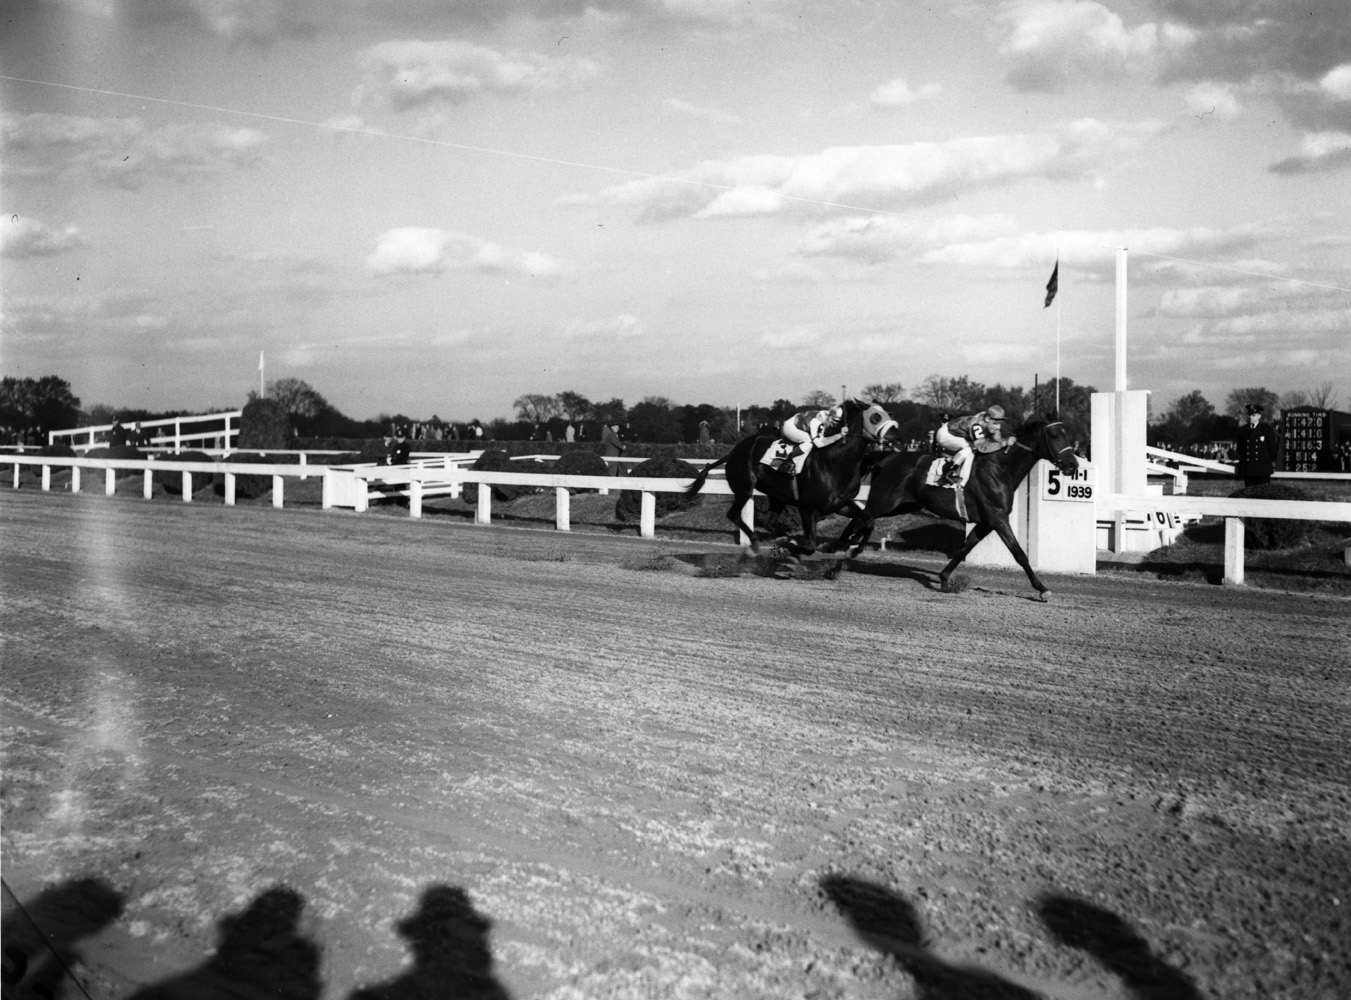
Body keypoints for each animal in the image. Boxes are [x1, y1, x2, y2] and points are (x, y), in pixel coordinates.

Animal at [686, 397, 897, 554]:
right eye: (875, 417)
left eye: (887, 413)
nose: (896, 432)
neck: (835, 462)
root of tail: (734, 451)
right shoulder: (807, 508)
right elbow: (810, 546)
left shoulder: (840, 504)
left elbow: (868, 520)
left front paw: (849, 545)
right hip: (744, 487)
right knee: (734, 514)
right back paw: (757, 541)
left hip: (775, 495)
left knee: (768, 520)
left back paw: (783, 537)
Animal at [832, 418, 1075, 597]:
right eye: (1054, 435)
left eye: (1068, 434)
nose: (1073, 465)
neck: (1000, 468)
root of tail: (888, 456)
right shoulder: (998, 518)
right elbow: (1019, 554)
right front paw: (1042, 589)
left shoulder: (986, 522)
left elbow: (964, 548)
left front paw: (944, 579)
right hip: (884, 501)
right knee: (861, 518)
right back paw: (839, 554)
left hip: (902, 505)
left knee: (860, 519)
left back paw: (843, 552)